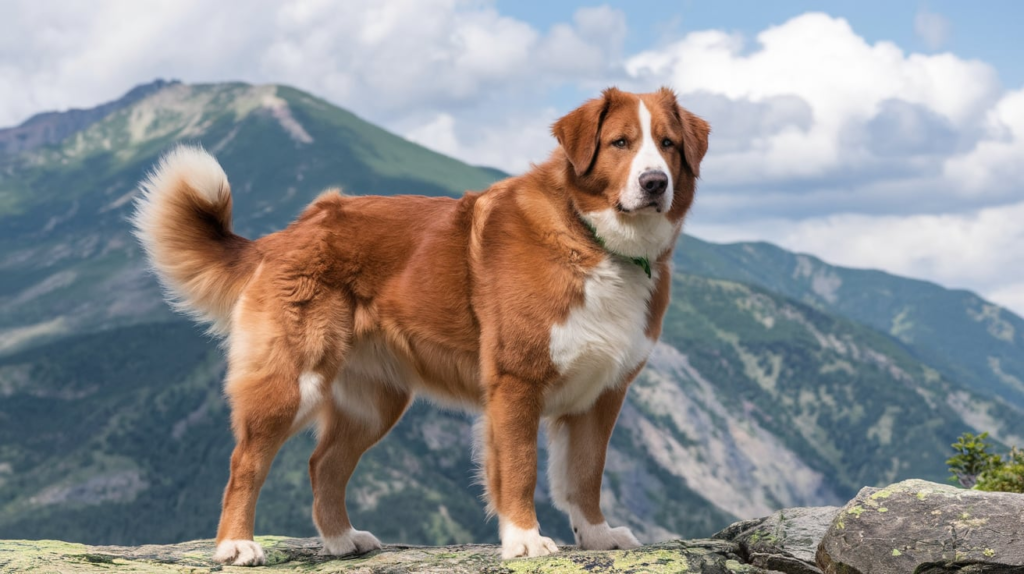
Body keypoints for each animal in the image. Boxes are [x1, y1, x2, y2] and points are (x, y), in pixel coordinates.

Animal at [132, 85, 708, 564]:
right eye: (619, 143)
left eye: (668, 144)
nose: (654, 182)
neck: (590, 237)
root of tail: (288, 232)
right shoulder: (516, 383)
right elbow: (520, 468)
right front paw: (524, 540)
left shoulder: (601, 393)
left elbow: (586, 475)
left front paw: (597, 535)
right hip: (292, 381)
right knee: (245, 462)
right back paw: (236, 545)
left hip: (375, 403)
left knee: (324, 464)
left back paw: (341, 540)